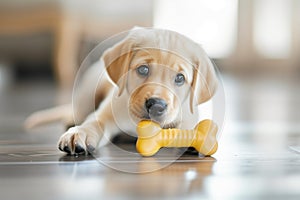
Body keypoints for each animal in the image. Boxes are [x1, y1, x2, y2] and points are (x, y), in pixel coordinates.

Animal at [25, 27, 218, 155]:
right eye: (143, 69)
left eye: (180, 78)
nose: (157, 105)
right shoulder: (106, 114)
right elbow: (93, 122)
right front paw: (80, 132)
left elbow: (185, 124)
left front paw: (193, 136)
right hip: (86, 95)